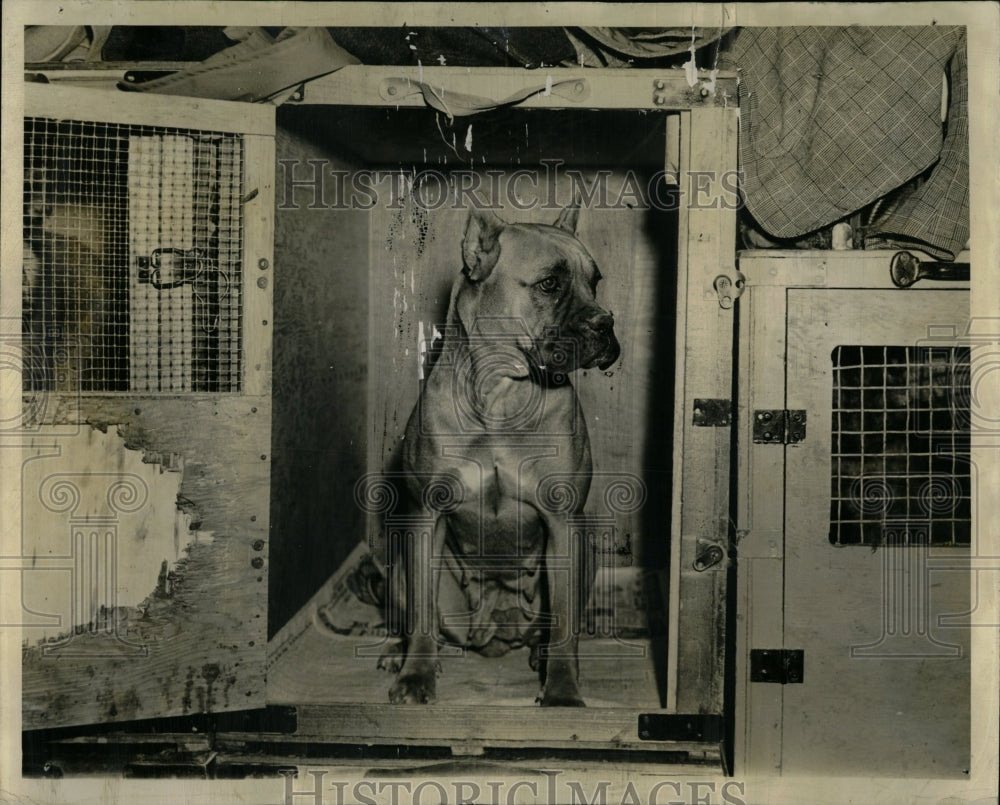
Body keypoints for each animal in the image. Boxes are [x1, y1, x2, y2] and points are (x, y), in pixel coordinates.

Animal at [380, 204, 616, 708]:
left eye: (595, 282)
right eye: (550, 283)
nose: (606, 324)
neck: (501, 397)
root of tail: (497, 634)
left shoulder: (563, 523)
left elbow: (564, 625)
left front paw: (562, 692)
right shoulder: (425, 516)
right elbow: (422, 617)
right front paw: (416, 676)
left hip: (586, 555)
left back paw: (538, 656)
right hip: (399, 567)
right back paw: (398, 650)